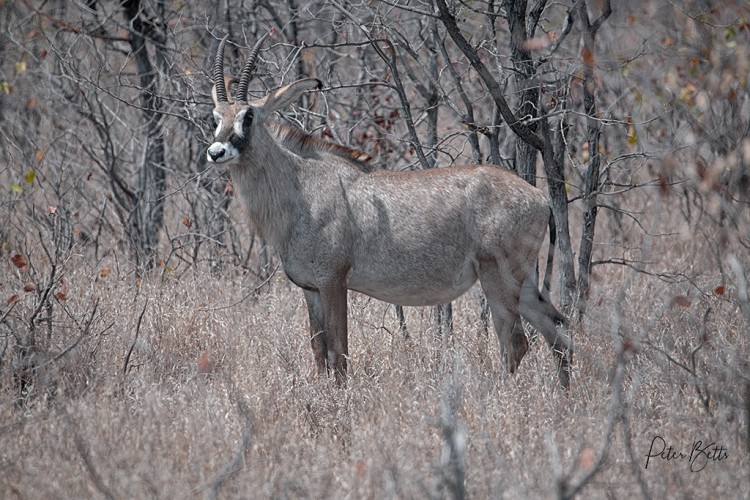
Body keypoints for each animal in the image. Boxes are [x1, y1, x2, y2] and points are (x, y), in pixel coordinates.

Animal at [207, 36, 576, 386]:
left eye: (248, 117)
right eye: (216, 117)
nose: (216, 152)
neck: (301, 184)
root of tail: (540, 199)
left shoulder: (333, 282)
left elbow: (339, 352)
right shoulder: (310, 289)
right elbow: (319, 352)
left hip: (497, 276)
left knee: (514, 342)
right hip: (523, 280)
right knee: (558, 332)